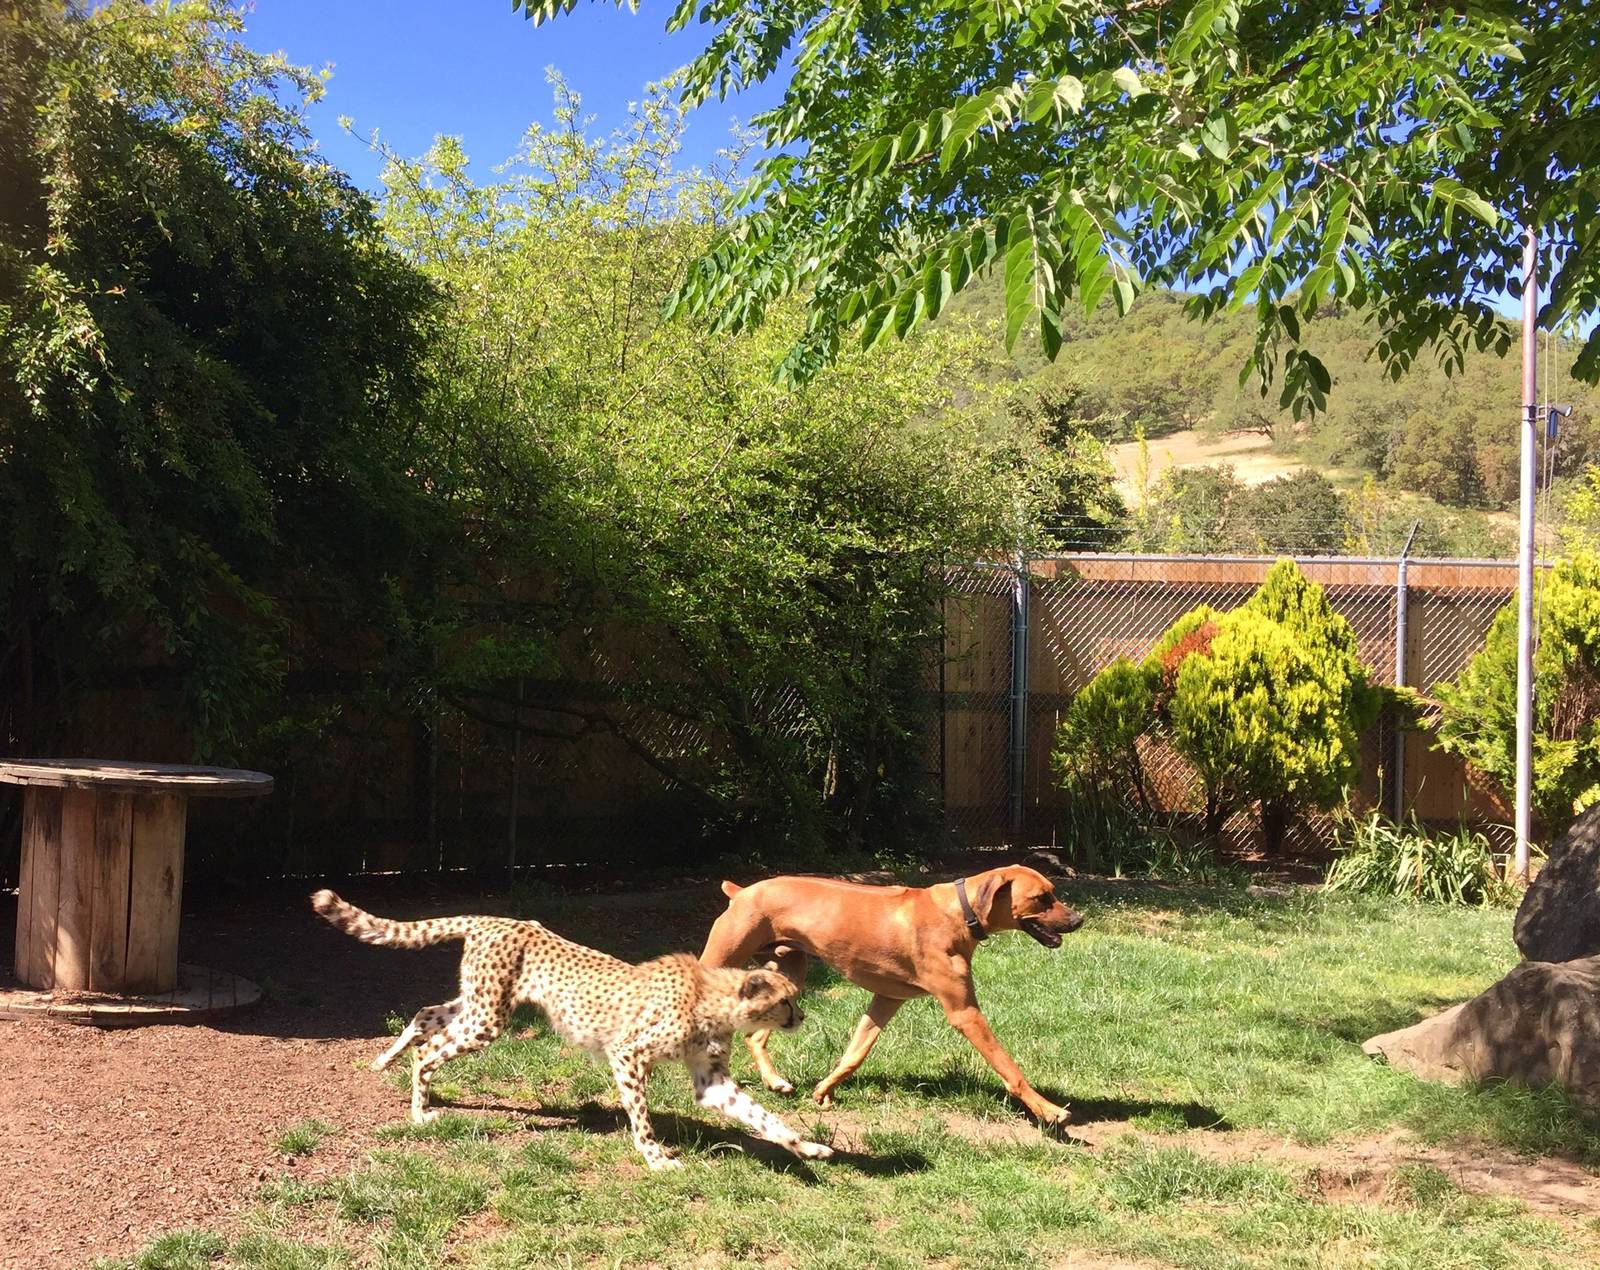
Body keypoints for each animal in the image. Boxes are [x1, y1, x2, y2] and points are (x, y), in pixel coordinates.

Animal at [310, 890, 834, 1170]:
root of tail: (494, 918)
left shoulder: (712, 1081)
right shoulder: (628, 1054)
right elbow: (642, 1116)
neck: (714, 1000)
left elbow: (763, 1117)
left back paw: (385, 1061)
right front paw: (655, 1157)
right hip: (487, 1019)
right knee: (430, 1048)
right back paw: (420, 1110)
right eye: (785, 1000)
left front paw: (806, 1146)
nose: (802, 1018)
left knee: (424, 1015)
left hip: (480, 1003)